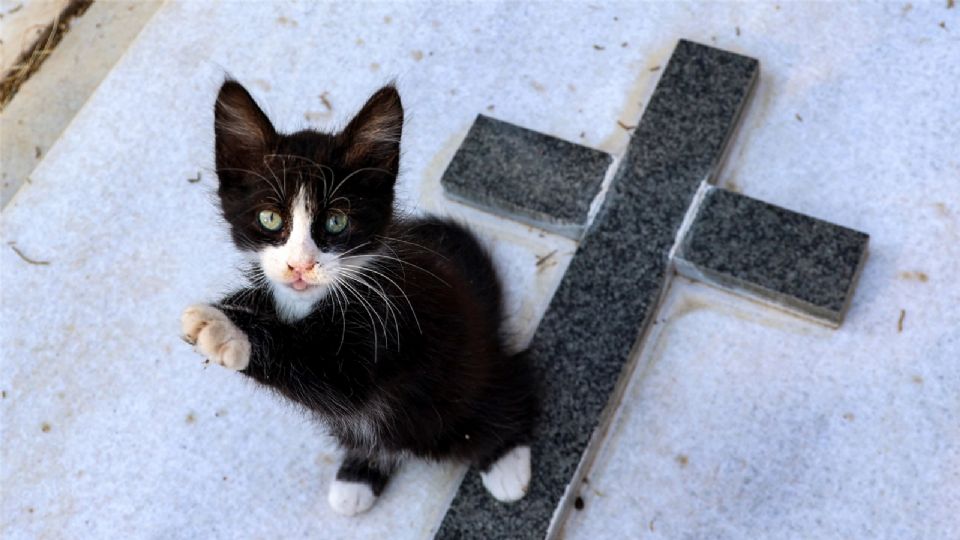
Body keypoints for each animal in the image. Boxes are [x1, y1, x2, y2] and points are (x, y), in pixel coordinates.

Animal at [181, 80, 540, 516]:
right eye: (270, 218)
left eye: (336, 222)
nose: (300, 266)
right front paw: (231, 311)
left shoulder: (388, 325)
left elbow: (323, 375)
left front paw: (225, 328)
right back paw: (359, 475)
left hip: (466, 378)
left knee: (506, 391)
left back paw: (505, 458)